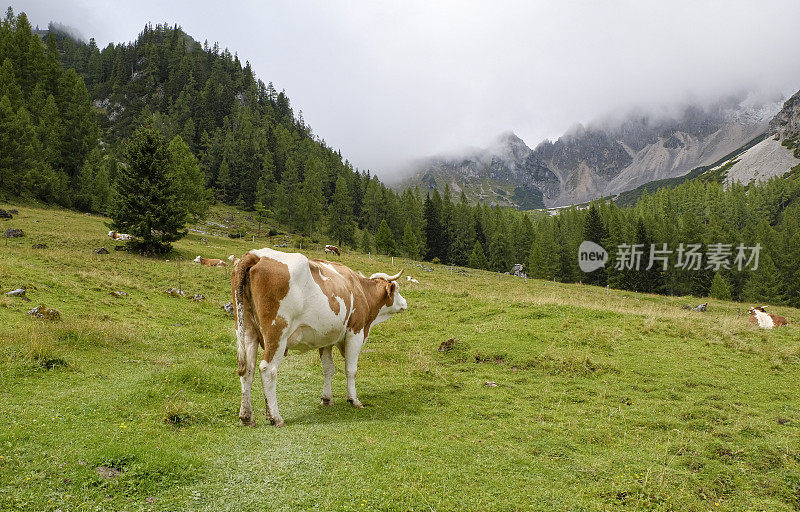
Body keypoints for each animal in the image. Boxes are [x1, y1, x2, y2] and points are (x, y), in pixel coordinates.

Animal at [231, 248, 406, 428]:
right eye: (398, 289)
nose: (405, 303)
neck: (360, 290)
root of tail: (257, 255)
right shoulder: (355, 333)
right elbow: (351, 370)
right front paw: (354, 400)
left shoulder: (326, 337)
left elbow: (328, 368)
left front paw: (327, 398)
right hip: (277, 334)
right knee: (268, 369)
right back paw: (275, 417)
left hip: (247, 331)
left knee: (248, 370)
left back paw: (246, 417)